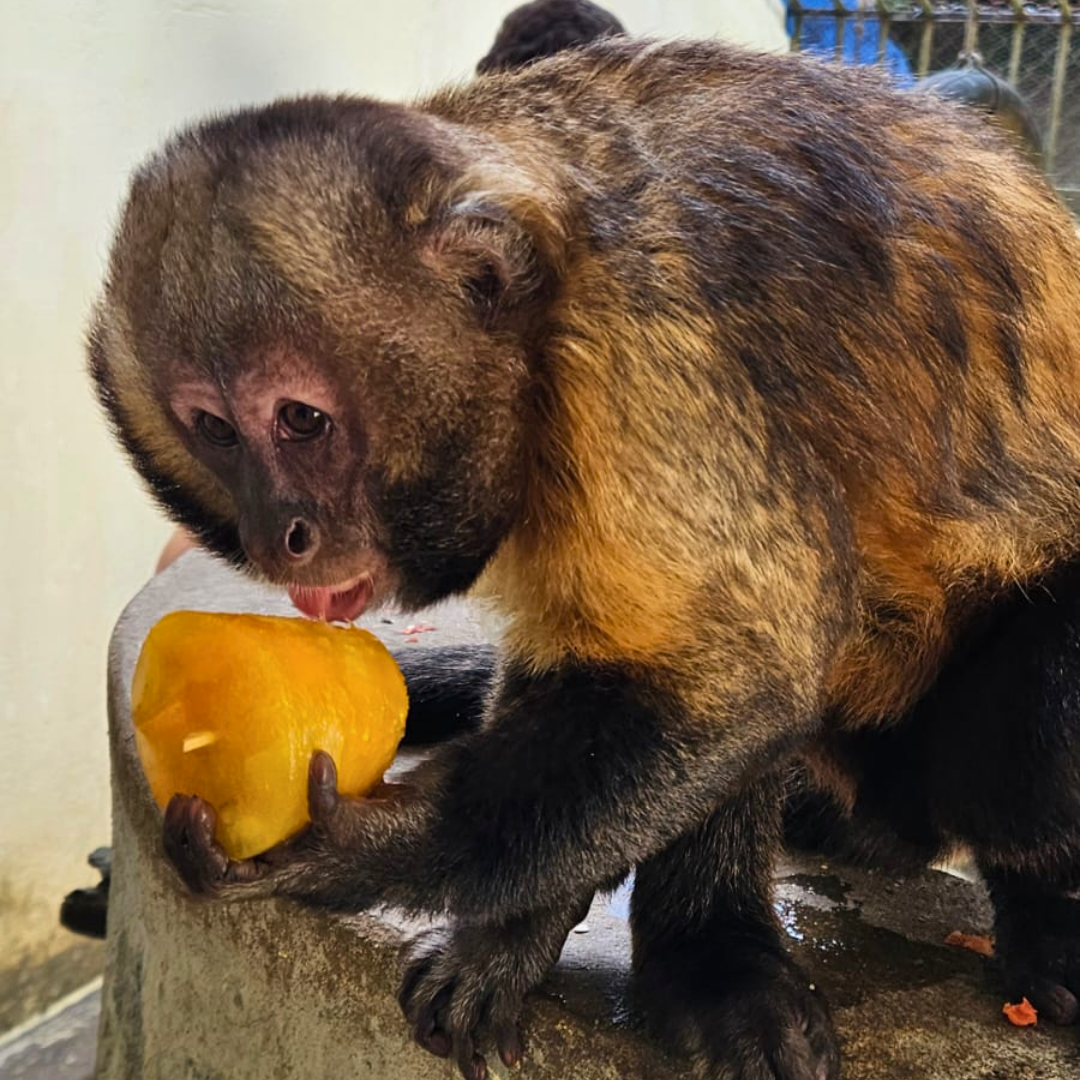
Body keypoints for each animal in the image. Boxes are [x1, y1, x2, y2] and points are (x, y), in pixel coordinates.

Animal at [88, 38, 1080, 1080]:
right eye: (215, 432)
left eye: (300, 421)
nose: (278, 531)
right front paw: (509, 938)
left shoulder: (638, 354)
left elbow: (736, 674)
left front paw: (375, 848)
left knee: (1019, 757)